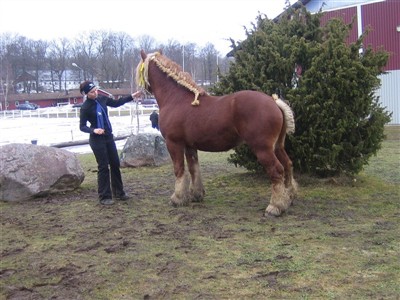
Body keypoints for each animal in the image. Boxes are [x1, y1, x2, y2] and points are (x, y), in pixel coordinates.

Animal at [136, 50, 296, 217]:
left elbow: (179, 169)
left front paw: (178, 198)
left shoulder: (174, 144)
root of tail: (274, 102)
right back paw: (289, 198)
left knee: (277, 170)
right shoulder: (190, 146)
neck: (176, 99)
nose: (141, 93)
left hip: (263, 149)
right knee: (288, 165)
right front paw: (196, 195)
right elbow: (194, 169)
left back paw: (275, 206)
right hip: (277, 146)